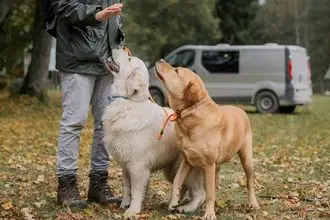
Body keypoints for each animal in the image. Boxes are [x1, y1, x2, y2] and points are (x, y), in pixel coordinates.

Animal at [155, 59, 260, 220]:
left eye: (177, 71)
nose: (161, 60)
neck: (192, 115)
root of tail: (240, 109)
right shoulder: (187, 161)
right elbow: (178, 180)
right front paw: (174, 201)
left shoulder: (209, 165)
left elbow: (209, 193)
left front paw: (209, 213)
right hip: (216, 166)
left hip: (246, 159)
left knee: (249, 182)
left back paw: (253, 203)